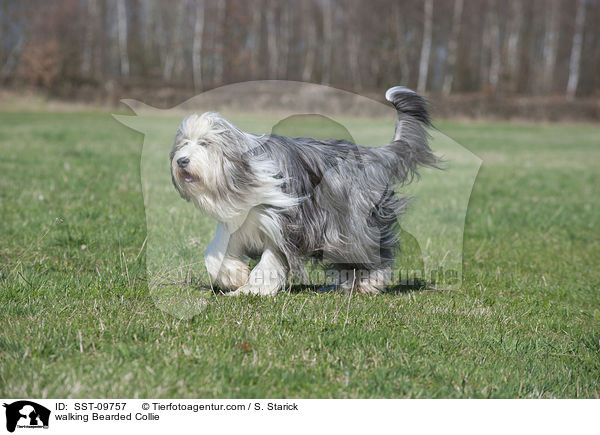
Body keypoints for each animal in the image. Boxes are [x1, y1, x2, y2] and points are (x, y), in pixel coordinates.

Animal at [171, 86, 438, 294]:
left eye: (205, 143)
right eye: (184, 143)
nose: (181, 161)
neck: (244, 171)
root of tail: (373, 154)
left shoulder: (285, 223)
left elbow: (270, 260)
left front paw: (252, 289)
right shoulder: (240, 222)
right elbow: (214, 253)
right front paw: (234, 277)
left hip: (351, 223)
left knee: (373, 250)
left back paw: (370, 283)